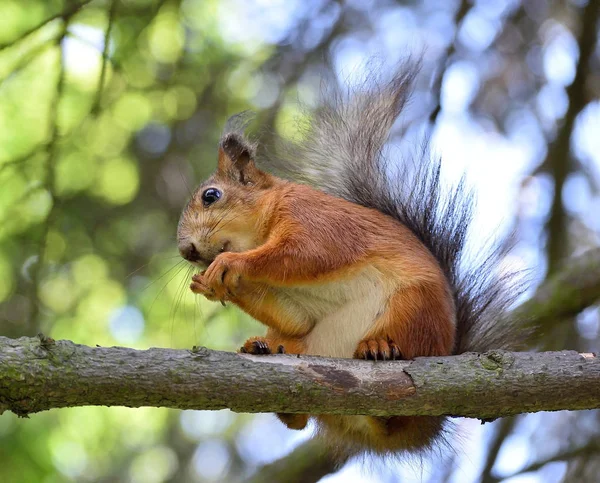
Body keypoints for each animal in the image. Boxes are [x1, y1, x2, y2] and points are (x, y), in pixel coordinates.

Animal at [177, 64, 520, 458]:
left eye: (211, 196)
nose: (186, 251)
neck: (268, 216)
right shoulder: (295, 305)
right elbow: (295, 317)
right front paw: (210, 284)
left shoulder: (317, 223)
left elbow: (303, 255)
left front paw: (229, 264)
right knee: (302, 408)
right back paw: (265, 351)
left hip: (415, 306)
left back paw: (378, 347)